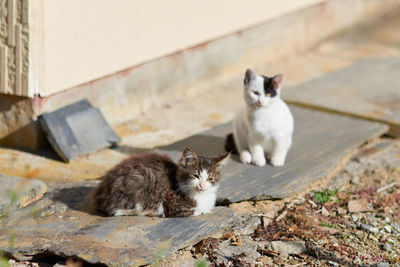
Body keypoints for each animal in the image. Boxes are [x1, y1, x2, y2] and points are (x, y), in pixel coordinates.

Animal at [93, 148, 228, 219]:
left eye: (209, 179)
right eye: (196, 176)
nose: (201, 185)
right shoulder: (172, 204)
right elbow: (195, 211)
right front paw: (202, 211)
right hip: (142, 178)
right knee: (117, 211)